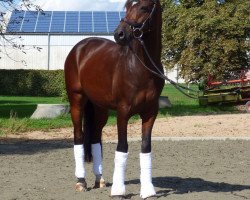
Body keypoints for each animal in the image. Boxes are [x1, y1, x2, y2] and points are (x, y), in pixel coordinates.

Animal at [64, 0, 164, 198]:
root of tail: (79, 48)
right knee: (78, 136)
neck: (142, 68)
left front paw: (148, 191)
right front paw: (118, 190)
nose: (119, 33)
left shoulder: (150, 113)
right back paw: (81, 182)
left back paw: (99, 179)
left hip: (99, 108)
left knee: (95, 137)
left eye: (144, 7)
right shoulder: (123, 112)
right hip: (77, 101)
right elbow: (122, 147)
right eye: (127, 6)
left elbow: (146, 148)